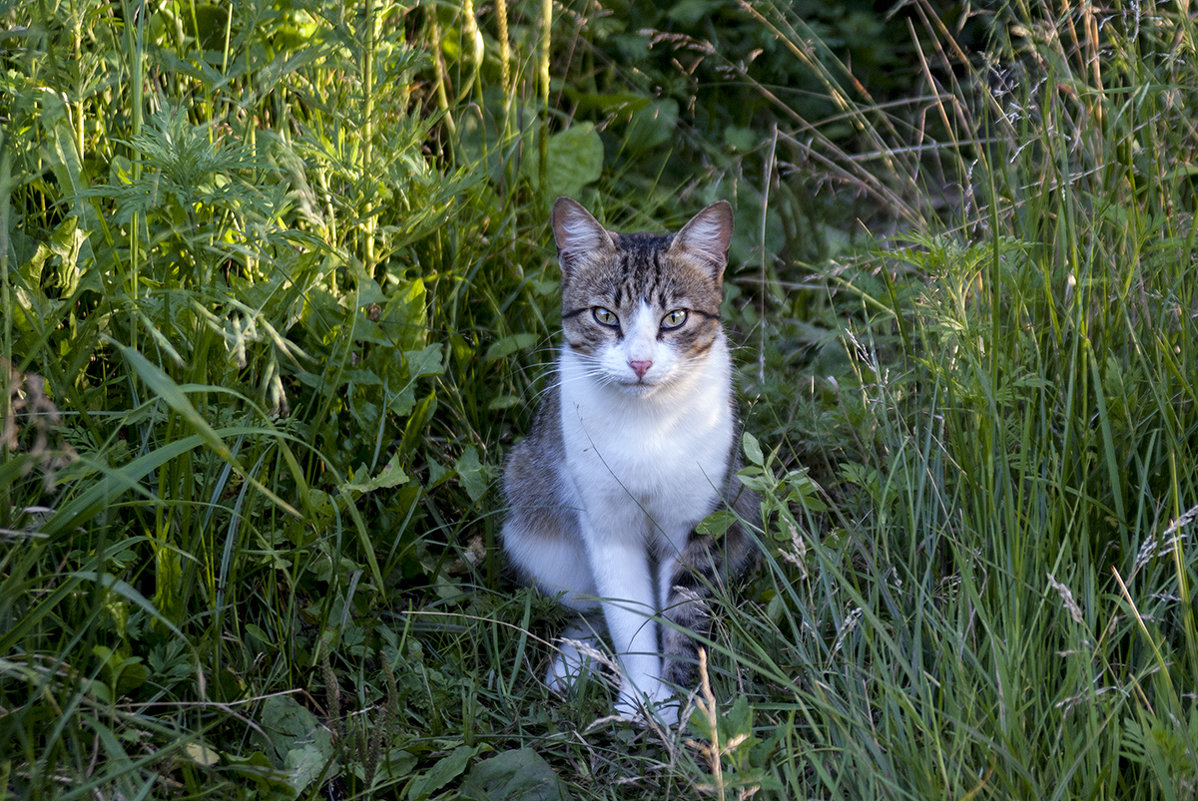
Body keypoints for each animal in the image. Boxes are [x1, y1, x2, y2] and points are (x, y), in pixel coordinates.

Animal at [503, 196, 757, 723]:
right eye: (604, 315)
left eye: (675, 318)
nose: (640, 363)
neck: (649, 421)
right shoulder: (606, 524)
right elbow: (628, 615)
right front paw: (642, 699)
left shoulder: (695, 521)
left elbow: (683, 611)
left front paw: (680, 705)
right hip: (534, 520)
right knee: (589, 605)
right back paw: (573, 661)